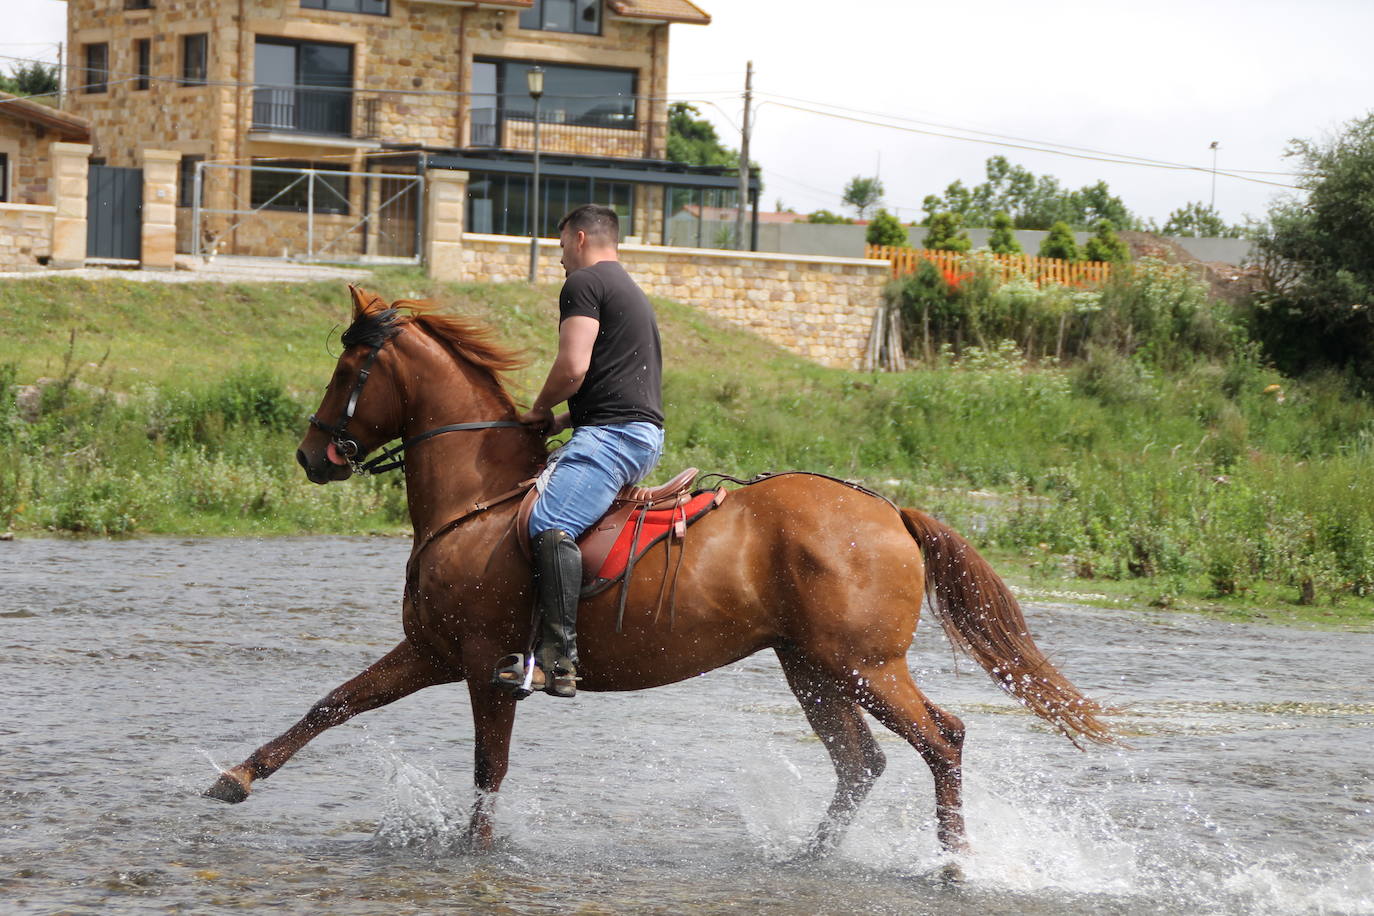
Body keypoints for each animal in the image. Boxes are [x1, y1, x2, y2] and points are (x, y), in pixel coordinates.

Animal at [203, 288, 1110, 862]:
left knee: (942, 740)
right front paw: (236, 778)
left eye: (346, 371)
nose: (311, 456)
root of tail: (888, 511)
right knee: (861, 764)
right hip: (813, 669)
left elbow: (488, 769)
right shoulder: (430, 652)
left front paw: (474, 852)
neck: (478, 501)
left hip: (865, 665)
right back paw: (809, 858)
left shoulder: (484, 664)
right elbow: (332, 705)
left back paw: (954, 862)